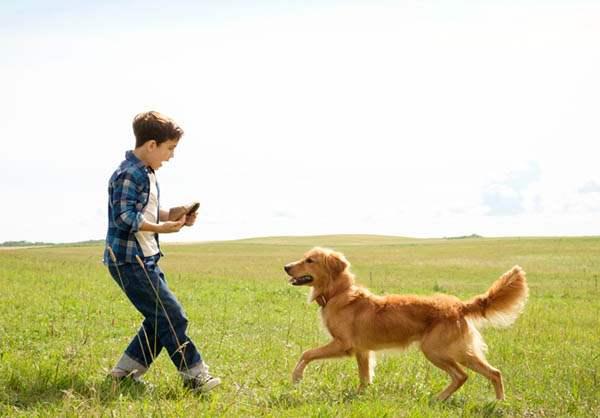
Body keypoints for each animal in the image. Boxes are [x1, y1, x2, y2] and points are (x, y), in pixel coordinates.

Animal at [284, 247, 528, 400]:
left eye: (310, 260)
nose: (286, 266)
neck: (338, 293)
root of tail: (459, 306)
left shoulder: (344, 345)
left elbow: (306, 353)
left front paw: (296, 377)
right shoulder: (363, 351)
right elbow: (364, 377)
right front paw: (362, 395)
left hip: (437, 350)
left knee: (464, 375)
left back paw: (443, 398)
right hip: (456, 351)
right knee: (492, 372)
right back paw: (495, 402)